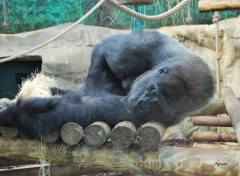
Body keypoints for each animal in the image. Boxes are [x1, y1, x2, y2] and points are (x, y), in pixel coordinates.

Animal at [0, 31, 214, 139]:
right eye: (152, 89)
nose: (142, 103)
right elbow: (104, 53)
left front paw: (15, 114)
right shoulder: (145, 45)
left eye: (159, 106)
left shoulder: (168, 116)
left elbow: (84, 108)